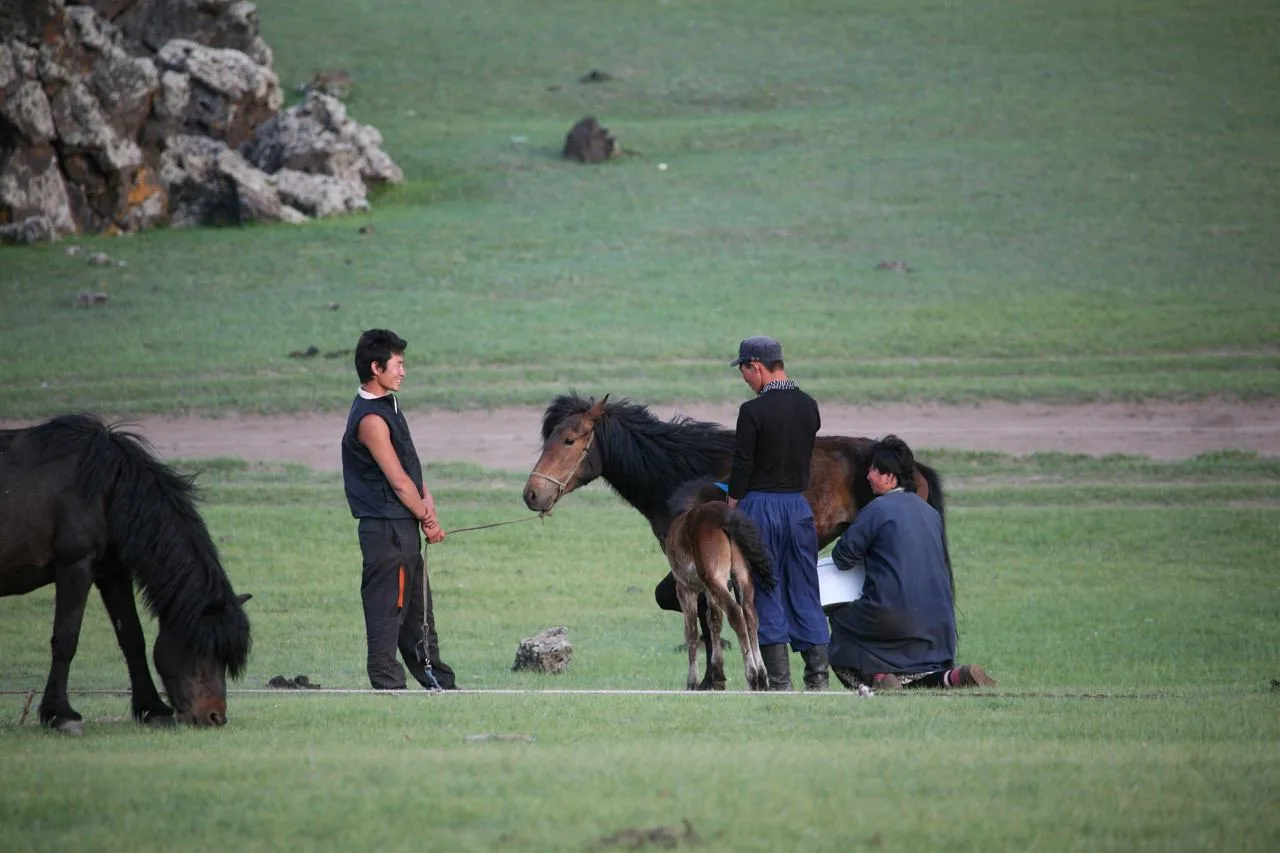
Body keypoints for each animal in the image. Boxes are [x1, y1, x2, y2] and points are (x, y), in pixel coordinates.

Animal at [0, 414, 252, 734]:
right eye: (202, 648)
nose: (215, 717)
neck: (105, 488)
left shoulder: (113, 572)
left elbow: (132, 638)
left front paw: (153, 709)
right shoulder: (75, 566)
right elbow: (66, 639)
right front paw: (61, 714)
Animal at [664, 480, 772, 691]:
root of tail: (725, 517)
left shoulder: (685, 588)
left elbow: (691, 631)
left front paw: (692, 682)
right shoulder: (709, 590)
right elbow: (714, 620)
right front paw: (717, 675)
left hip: (716, 579)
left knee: (736, 614)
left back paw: (752, 675)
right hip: (741, 577)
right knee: (750, 615)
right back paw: (762, 677)